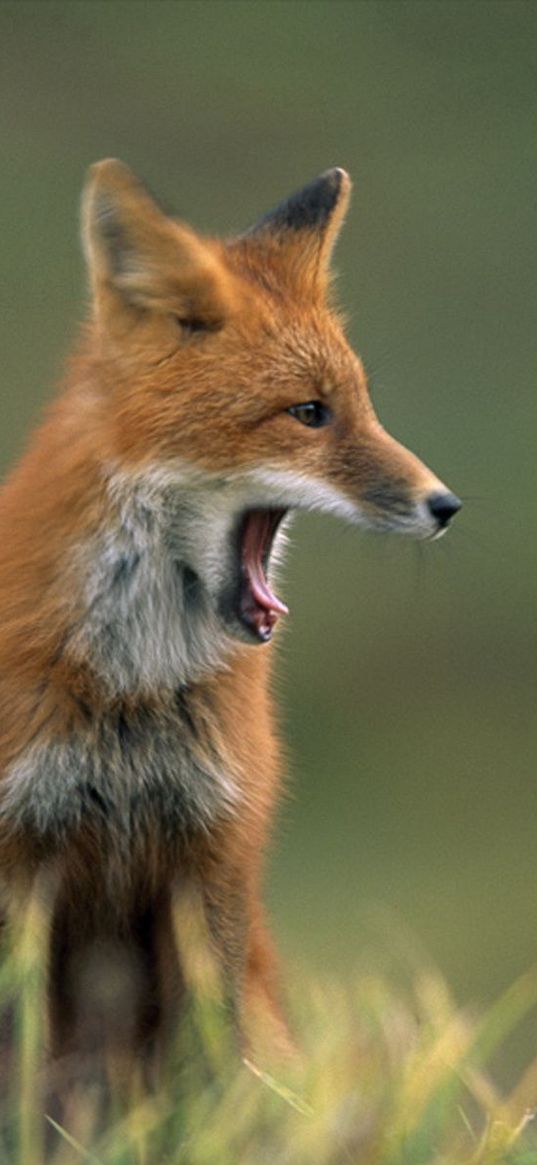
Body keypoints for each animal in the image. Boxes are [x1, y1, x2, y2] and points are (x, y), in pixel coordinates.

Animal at [1, 159, 461, 1076]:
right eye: (309, 412)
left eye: (362, 405)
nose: (445, 504)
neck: (130, 691)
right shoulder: (19, 856)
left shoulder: (215, 850)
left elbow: (210, 1065)